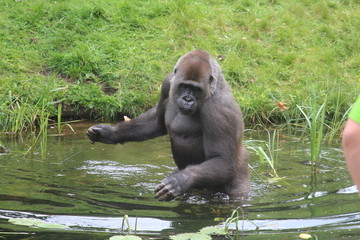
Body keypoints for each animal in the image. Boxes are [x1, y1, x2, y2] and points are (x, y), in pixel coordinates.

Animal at [87, 50, 250, 201]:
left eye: (196, 89)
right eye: (184, 86)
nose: (187, 99)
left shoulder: (218, 108)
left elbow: (222, 160)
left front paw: (180, 180)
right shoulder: (168, 82)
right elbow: (156, 122)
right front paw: (109, 132)